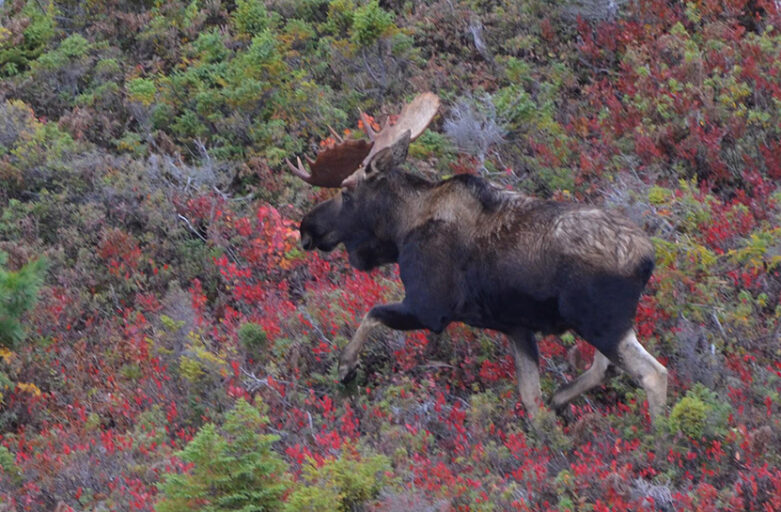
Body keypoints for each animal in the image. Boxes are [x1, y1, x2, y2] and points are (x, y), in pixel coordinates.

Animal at [287, 92, 668, 421]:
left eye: (347, 191)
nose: (307, 227)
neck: (400, 230)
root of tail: (647, 260)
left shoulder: (430, 308)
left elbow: (371, 314)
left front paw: (346, 366)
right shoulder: (516, 326)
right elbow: (531, 398)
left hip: (600, 321)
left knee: (652, 373)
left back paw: (661, 439)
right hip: (608, 324)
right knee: (605, 367)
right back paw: (563, 398)